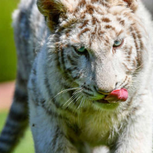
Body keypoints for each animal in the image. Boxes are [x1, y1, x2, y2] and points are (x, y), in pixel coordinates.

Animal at [0, 0, 153, 152]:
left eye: (117, 43)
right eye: (81, 50)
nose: (107, 92)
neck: (98, 113)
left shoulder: (139, 110)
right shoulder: (45, 113)